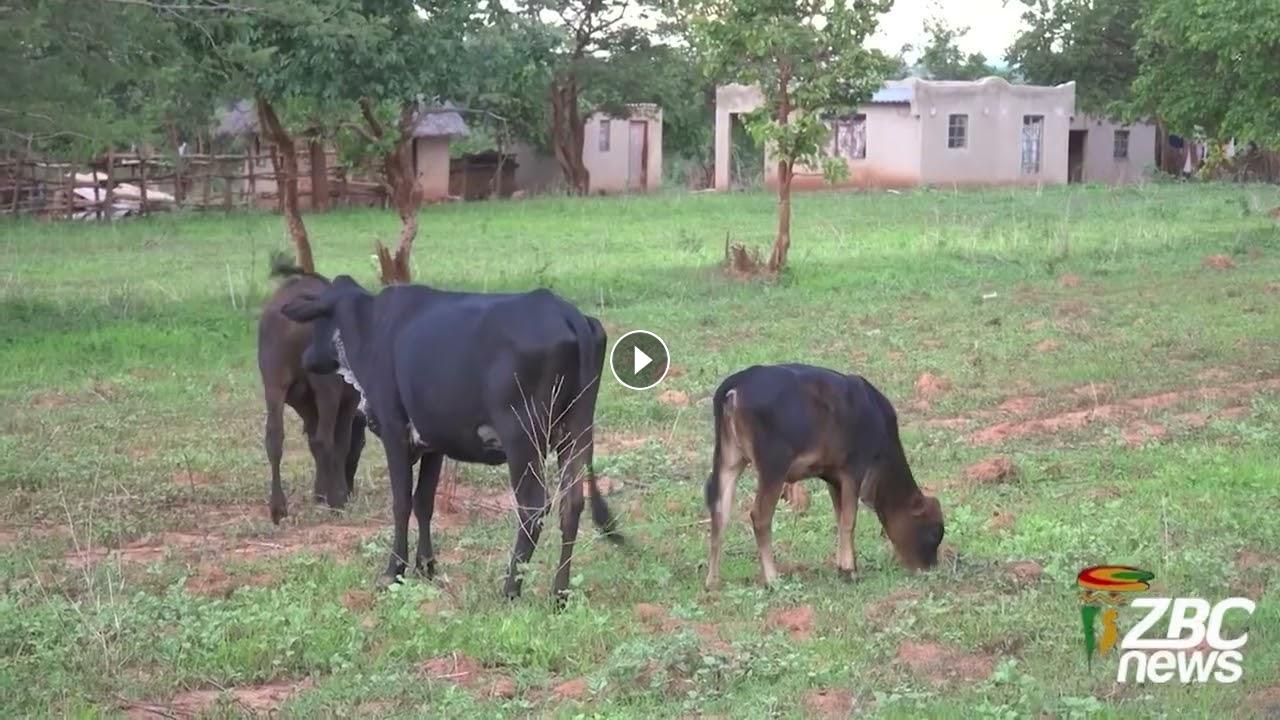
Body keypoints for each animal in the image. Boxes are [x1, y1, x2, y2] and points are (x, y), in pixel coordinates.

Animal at [258, 256, 367, 524]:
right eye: (362, 444)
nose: (351, 488)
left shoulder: (304, 404)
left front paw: (320, 492)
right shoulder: (348, 400)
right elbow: (340, 443)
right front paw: (334, 494)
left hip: (273, 382)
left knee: (274, 438)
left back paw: (278, 507)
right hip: (327, 387)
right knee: (326, 439)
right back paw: (337, 500)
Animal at [280, 275, 622, 601]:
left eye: (318, 322)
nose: (307, 358)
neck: (370, 327)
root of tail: (566, 312)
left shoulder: (394, 431)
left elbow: (401, 503)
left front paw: (394, 571)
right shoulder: (434, 442)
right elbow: (423, 503)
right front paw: (426, 566)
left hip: (523, 437)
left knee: (533, 507)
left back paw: (511, 590)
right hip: (576, 431)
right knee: (572, 504)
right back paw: (559, 594)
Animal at [704, 364, 944, 589]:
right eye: (934, 532)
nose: (929, 568)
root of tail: (736, 385)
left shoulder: (833, 477)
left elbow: (840, 517)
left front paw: (843, 566)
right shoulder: (853, 469)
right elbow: (849, 521)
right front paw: (849, 570)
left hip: (729, 459)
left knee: (720, 511)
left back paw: (712, 580)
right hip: (773, 466)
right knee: (760, 516)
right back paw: (772, 578)